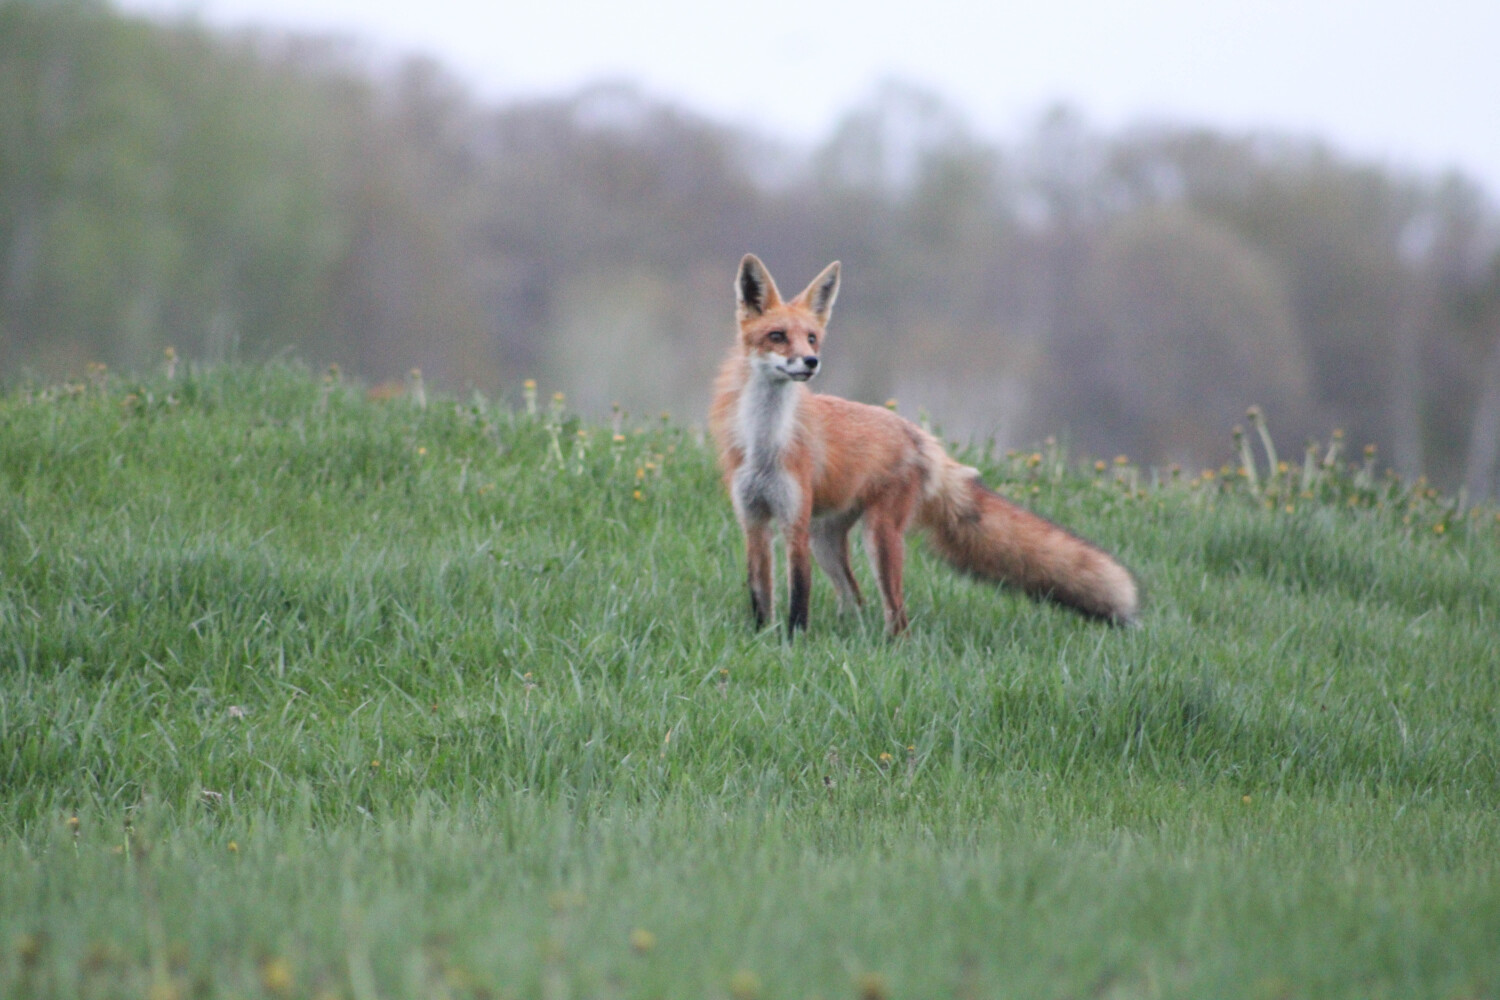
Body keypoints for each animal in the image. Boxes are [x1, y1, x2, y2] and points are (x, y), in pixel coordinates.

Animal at [708, 253, 1140, 638]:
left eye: (811, 338)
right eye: (777, 336)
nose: (811, 362)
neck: (765, 444)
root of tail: (922, 438)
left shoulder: (794, 525)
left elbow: (799, 599)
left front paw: (793, 645)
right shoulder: (754, 521)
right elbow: (760, 595)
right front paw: (762, 639)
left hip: (878, 536)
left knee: (897, 617)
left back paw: (888, 650)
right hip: (827, 541)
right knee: (857, 601)